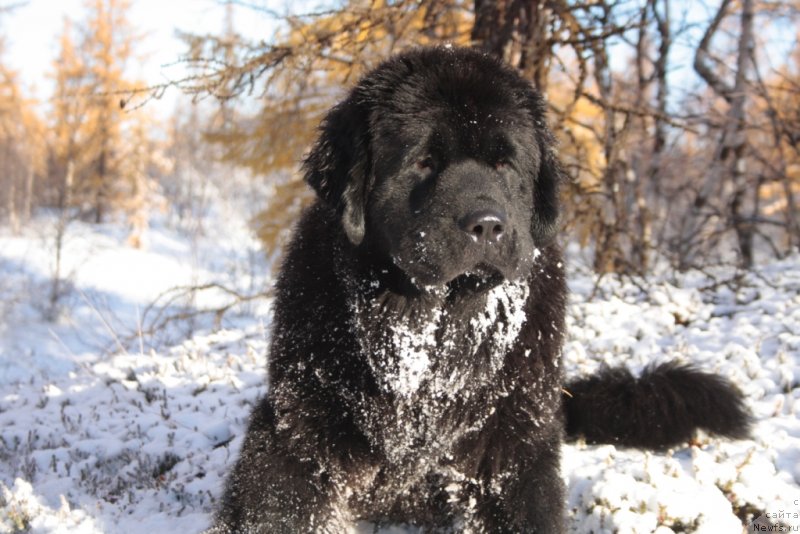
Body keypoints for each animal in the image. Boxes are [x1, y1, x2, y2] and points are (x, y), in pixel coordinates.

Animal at [211, 47, 752, 534]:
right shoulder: (298, 429)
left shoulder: (512, 447)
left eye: (505, 164)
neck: (431, 338)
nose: (487, 225)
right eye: (424, 162)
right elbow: (278, 503)